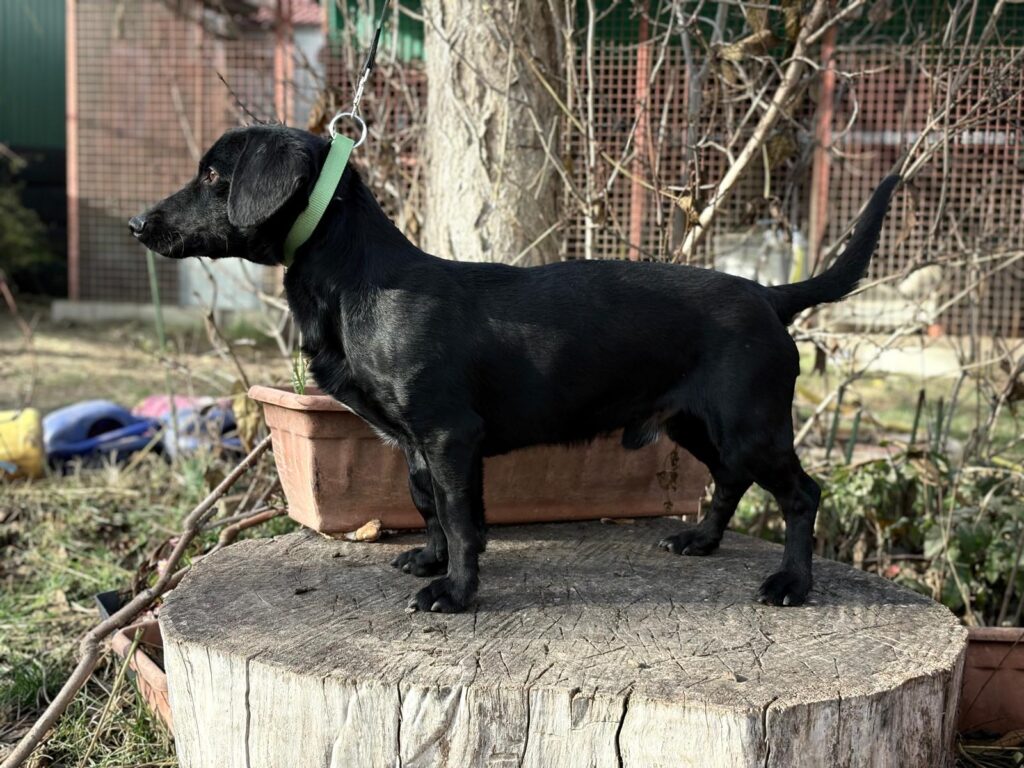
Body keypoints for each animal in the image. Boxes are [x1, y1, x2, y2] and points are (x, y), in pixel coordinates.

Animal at [132, 124, 899, 613]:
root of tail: (771, 295)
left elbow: (464, 520)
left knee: (802, 495)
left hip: (751, 425)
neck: (360, 279)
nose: (139, 225)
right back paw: (702, 541)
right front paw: (431, 561)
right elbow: (427, 508)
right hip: (694, 424)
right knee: (731, 480)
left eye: (212, 175)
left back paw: (791, 583)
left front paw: (455, 592)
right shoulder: (416, 445)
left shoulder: (450, 437)